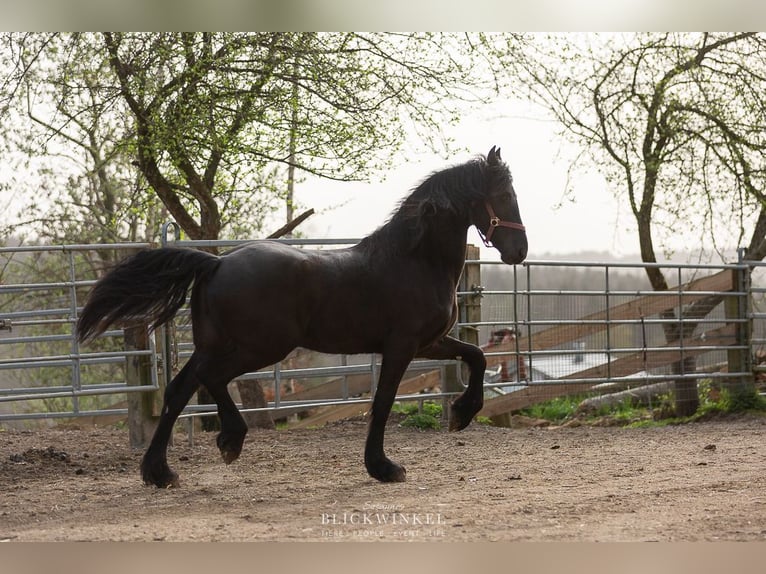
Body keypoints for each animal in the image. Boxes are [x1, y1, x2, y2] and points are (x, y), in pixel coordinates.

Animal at [78, 146, 528, 488]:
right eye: (506, 194)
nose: (519, 252)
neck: (414, 260)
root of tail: (216, 263)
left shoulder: (428, 342)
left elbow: (476, 356)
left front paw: (461, 414)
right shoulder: (402, 346)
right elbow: (383, 402)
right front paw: (384, 467)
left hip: (218, 344)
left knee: (180, 388)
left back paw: (162, 472)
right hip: (261, 346)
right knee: (208, 379)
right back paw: (229, 441)